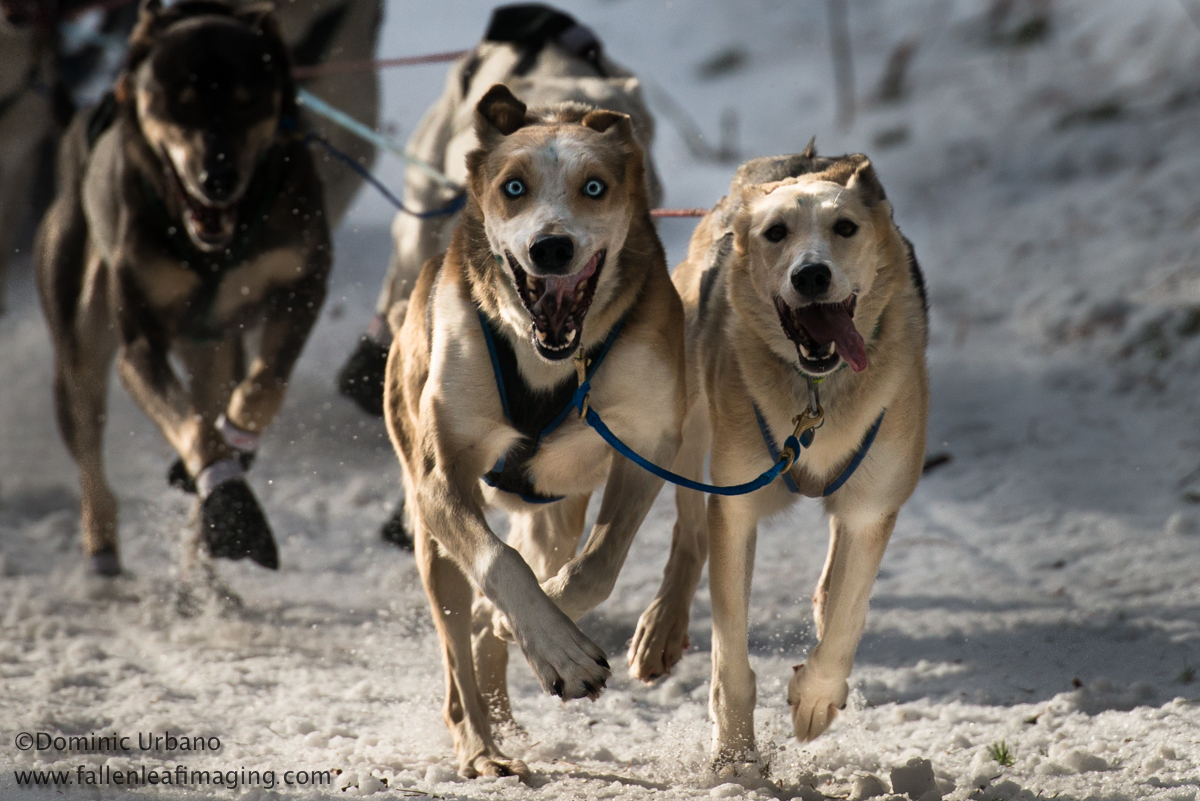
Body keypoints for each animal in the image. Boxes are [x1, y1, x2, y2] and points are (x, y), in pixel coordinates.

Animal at [384, 84, 686, 777]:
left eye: (594, 187)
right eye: (513, 188)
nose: (551, 247)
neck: (547, 359)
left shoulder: (647, 445)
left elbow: (597, 566)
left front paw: (539, 629)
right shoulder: (441, 477)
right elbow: (500, 561)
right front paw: (560, 651)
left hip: (554, 513)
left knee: (497, 620)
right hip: (432, 541)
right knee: (458, 659)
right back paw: (481, 747)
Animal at [628, 146, 926, 767]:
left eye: (845, 227)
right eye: (776, 233)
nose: (810, 274)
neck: (815, 395)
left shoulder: (872, 508)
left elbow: (847, 618)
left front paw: (816, 696)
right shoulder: (736, 507)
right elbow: (730, 656)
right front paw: (736, 756)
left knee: (835, 578)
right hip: (688, 429)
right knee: (689, 535)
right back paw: (663, 625)